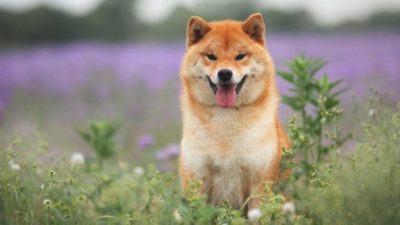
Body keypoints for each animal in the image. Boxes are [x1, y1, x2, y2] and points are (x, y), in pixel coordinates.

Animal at [180, 13, 290, 210]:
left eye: (240, 56)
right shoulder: (197, 178)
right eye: (211, 56)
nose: (225, 73)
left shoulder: (259, 182)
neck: (227, 119)